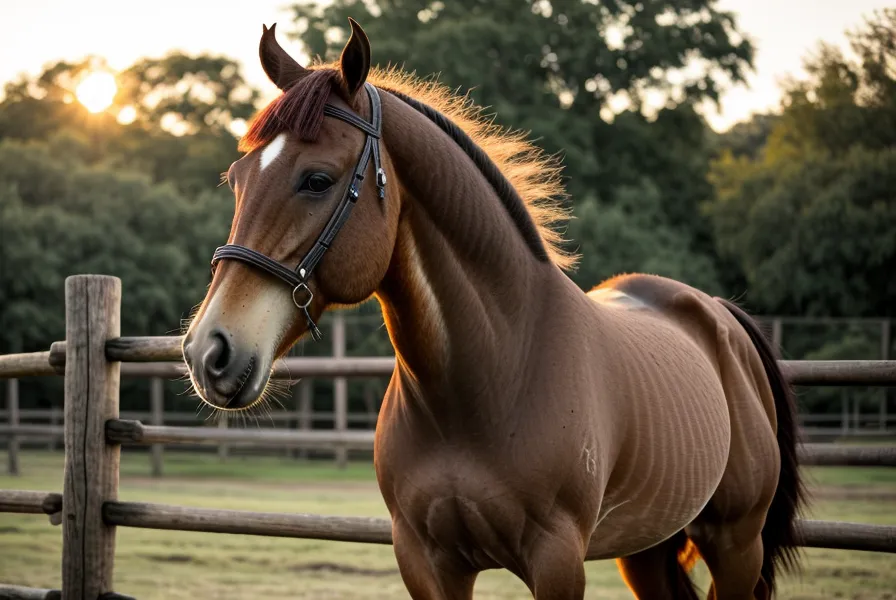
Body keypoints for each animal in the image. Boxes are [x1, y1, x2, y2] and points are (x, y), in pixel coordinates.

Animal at [182, 19, 804, 599]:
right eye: (236, 180)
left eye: (317, 180)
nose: (208, 350)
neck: (490, 374)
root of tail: (718, 313)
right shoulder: (427, 561)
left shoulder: (557, 562)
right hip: (647, 550)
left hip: (735, 543)